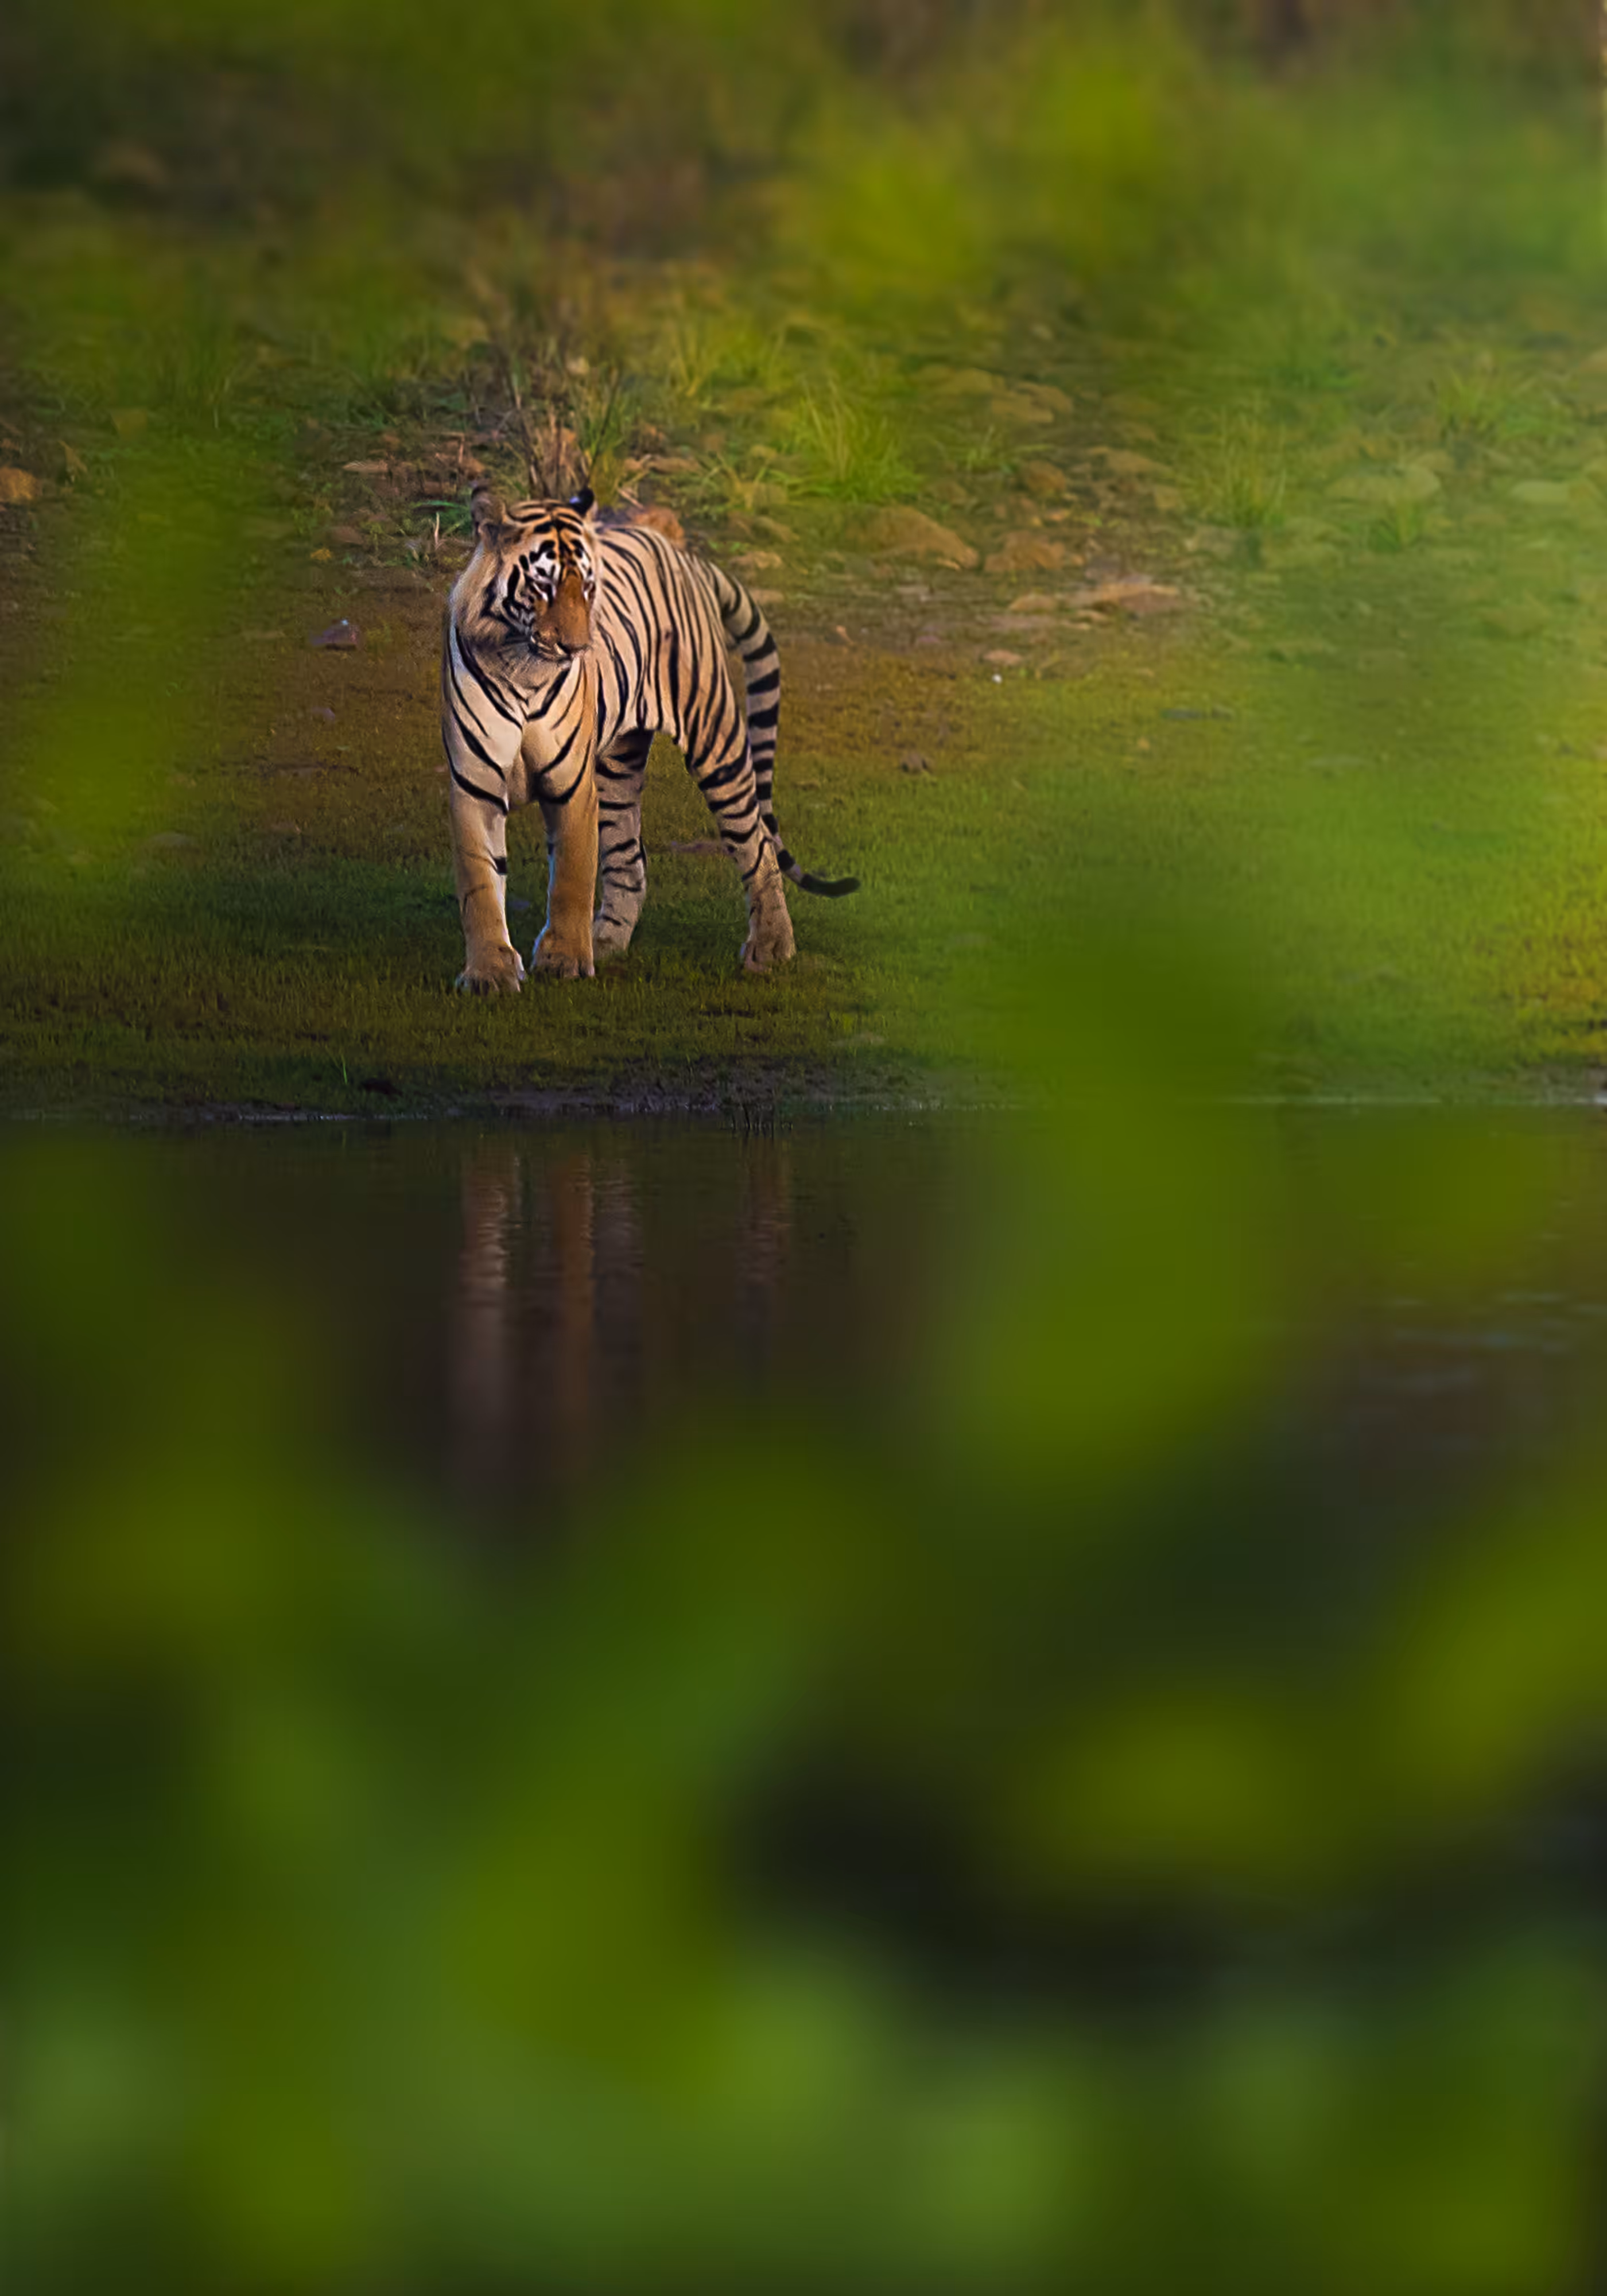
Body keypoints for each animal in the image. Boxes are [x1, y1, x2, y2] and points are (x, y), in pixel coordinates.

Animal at [441, 483, 857, 994]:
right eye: (542, 586)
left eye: (588, 586)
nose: (577, 648)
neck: (521, 663)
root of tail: (683, 555)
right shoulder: (474, 782)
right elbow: (479, 882)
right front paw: (490, 973)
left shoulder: (572, 785)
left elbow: (572, 878)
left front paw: (563, 960)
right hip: (617, 767)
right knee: (630, 861)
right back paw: (605, 941)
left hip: (715, 740)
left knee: (757, 843)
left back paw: (772, 946)